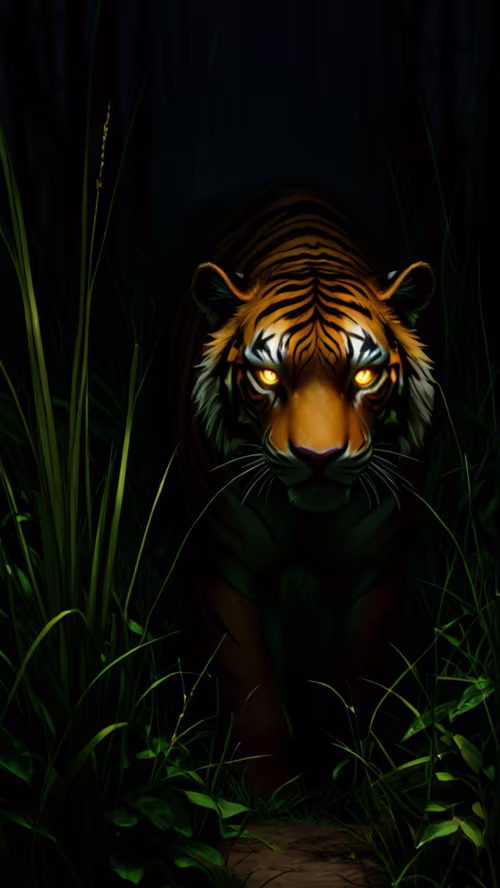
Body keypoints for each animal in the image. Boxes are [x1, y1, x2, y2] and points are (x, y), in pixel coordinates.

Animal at [171, 180, 435, 802]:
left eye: (364, 377)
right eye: (269, 377)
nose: (318, 459)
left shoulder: (374, 569)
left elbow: (357, 685)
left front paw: (348, 781)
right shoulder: (229, 564)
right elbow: (250, 689)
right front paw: (267, 791)